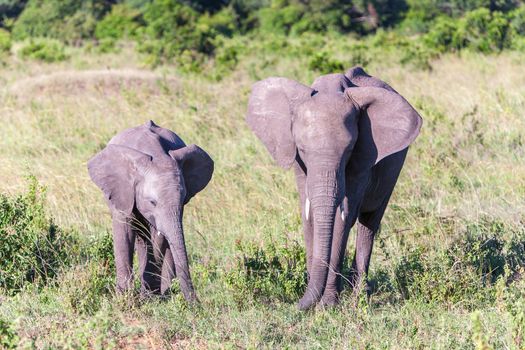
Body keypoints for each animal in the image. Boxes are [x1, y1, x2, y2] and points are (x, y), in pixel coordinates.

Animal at [88, 119, 213, 300]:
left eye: (183, 199)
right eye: (152, 202)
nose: (196, 303)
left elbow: (159, 238)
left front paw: (149, 296)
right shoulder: (122, 191)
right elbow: (124, 233)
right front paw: (124, 298)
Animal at [246, 65, 422, 308]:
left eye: (348, 150)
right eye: (302, 148)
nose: (297, 305)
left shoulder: (362, 158)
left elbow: (342, 218)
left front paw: (327, 304)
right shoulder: (299, 164)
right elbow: (308, 215)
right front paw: (314, 298)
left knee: (369, 222)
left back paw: (360, 296)